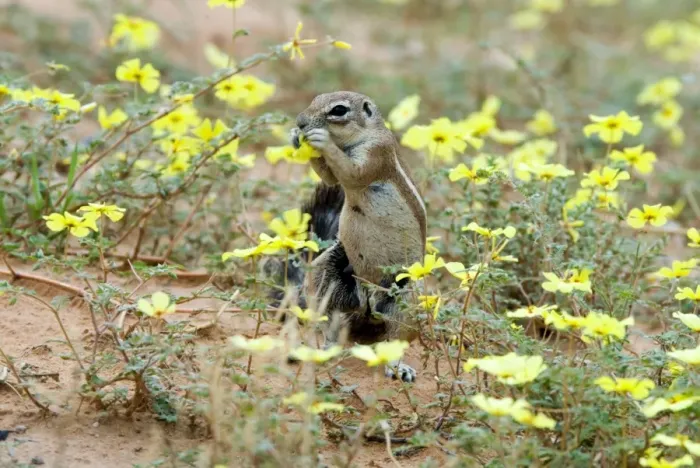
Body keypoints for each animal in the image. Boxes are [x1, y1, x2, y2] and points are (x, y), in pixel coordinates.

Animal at [271, 91, 427, 382]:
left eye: (339, 110)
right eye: (315, 98)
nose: (300, 122)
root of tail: (368, 304)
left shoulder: (376, 153)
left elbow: (352, 172)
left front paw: (321, 140)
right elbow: (331, 178)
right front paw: (294, 136)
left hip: (409, 292)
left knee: (397, 336)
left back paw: (399, 367)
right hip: (329, 269)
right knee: (331, 316)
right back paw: (321, 349)